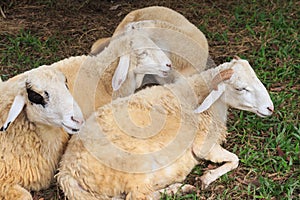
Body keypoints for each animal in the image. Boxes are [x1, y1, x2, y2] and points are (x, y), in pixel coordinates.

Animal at [55, 57, 274, 199]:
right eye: (240, 88)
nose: (270, 108)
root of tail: (67, 171)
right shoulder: (205, 146)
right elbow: (235, 159)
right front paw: (207, 178)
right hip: (137, 166)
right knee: (138, 196)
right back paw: (180, 188)